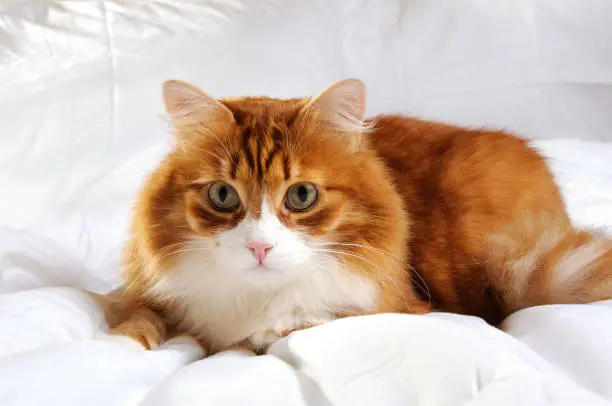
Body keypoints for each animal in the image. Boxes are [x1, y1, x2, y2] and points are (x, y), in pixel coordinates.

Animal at [105, 77, 612, 354]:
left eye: (302, 195)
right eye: (224, 195)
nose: (260, 246)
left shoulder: (402, 305)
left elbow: (304, 321)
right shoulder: (147, 295)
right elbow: (136, 319)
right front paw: (121, 349)